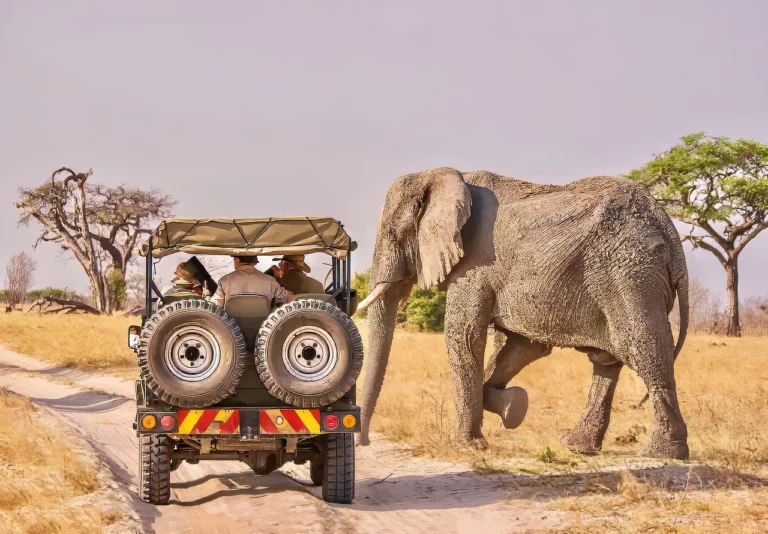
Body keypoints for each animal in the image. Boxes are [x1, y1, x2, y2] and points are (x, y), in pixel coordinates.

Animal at [358, 168, 688, 460]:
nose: (363, 442)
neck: (446, 176)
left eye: (395, 233)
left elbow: (464, 336)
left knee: (643, 351)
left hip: (630, 274)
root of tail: (669, 230)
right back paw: (576, 446)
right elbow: (524, 346)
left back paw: (661, 454)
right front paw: (513, 407)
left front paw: (469, 446)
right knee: (606, 361)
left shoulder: (476, 264)